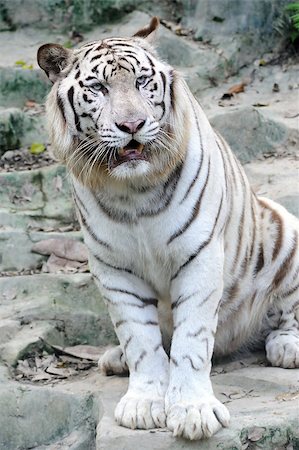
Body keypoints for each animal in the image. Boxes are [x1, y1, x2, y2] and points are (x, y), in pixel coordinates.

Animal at [37, 16, 299, 440]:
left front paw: (194, 412)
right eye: (98, 88)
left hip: (284, 226)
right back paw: (115, 358)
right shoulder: (114, 269)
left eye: (143, 81)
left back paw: (286, 346)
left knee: (288, 309)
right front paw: (144, 403)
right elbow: (139, 339)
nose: (132, 124)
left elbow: (192, 341)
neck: (133, 192)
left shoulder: (199, 255)